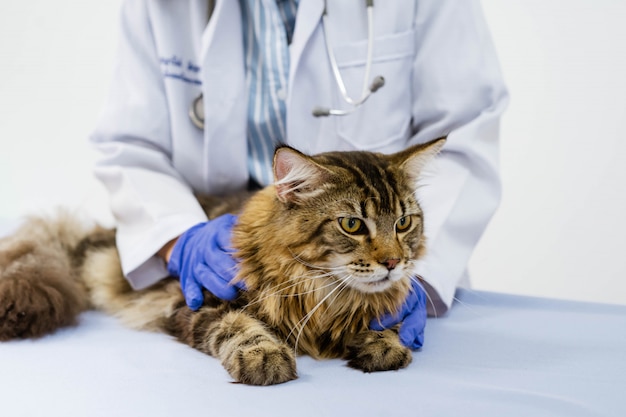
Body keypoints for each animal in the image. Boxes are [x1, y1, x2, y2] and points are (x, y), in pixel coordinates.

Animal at [0, 138, 444, 386]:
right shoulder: (195, 303)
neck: (323, 294)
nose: (393, 262)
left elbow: (391, 320)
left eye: (404, 222)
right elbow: (239, 327)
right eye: (352, 224)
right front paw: (265, 357)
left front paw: (383, 342)